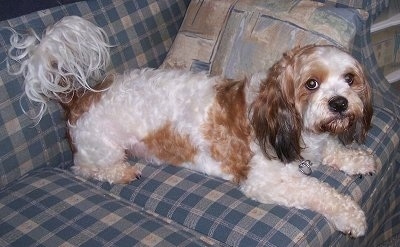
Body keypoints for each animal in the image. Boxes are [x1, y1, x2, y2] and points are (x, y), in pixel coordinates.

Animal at [8, 15, 378, 237]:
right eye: (311, 84)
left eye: (349, 79)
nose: (339, 103)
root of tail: (79, 95)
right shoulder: (266, 182)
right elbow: (318, 191)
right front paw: (351, 216)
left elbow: (334, 151)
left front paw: (358, 159)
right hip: (101, 148)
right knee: (86, 169)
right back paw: (123, 172)